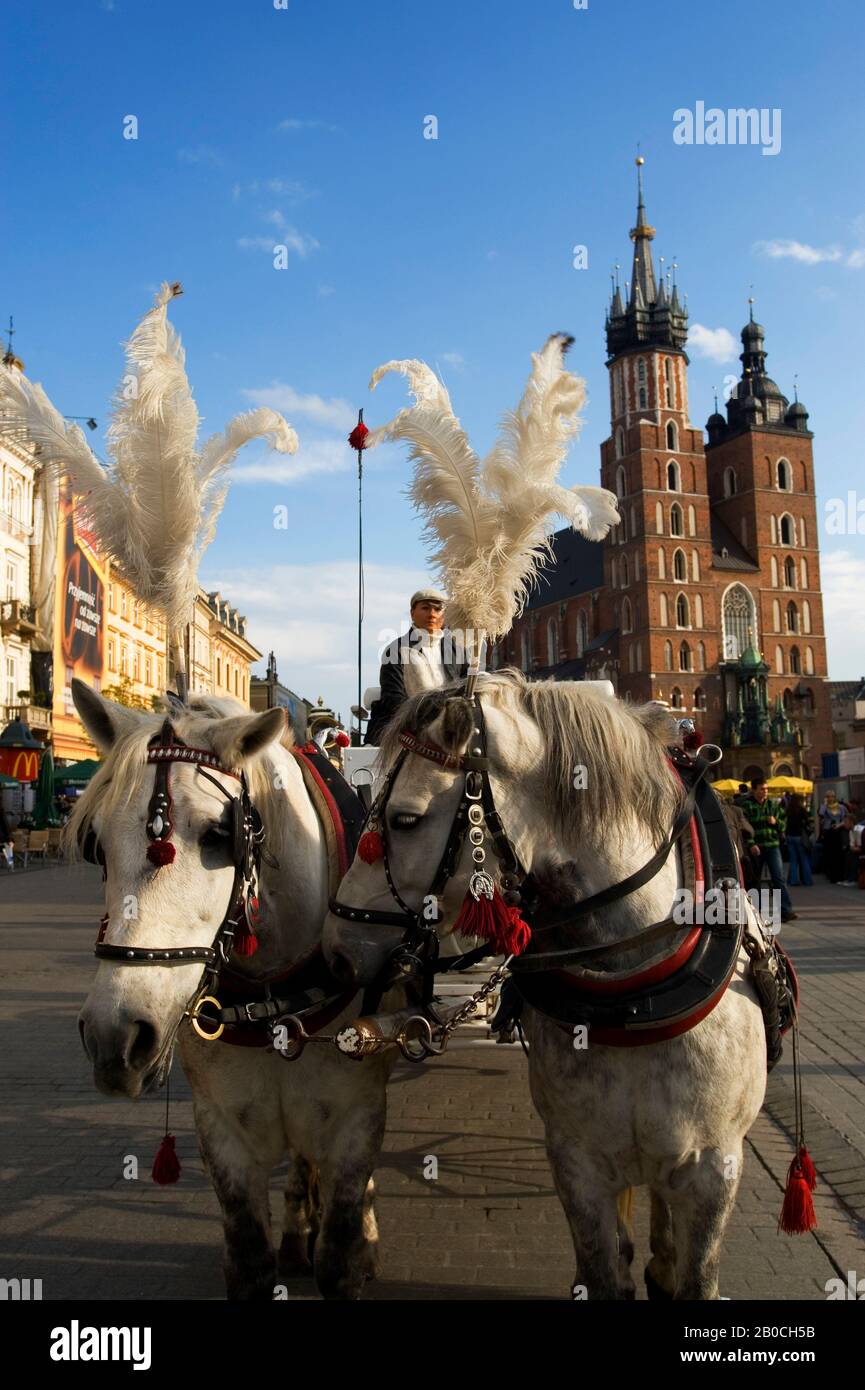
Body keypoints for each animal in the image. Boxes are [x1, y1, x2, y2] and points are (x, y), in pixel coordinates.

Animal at [70, 678, 396, 1301]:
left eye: (220, 834)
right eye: (95, 843)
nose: (115, 1038)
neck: (276, 994)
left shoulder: (354, 1118)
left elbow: (340, 1256)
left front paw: (357, 1239)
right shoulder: (223, 1130)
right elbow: (249, 1262)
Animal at [322, 672, 768, 1300]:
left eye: (405, 819)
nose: (336, 949)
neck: (635, 1000)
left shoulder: (715, 1168)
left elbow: (698, 1276)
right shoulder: (577, 1162)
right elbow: (603, 1271)